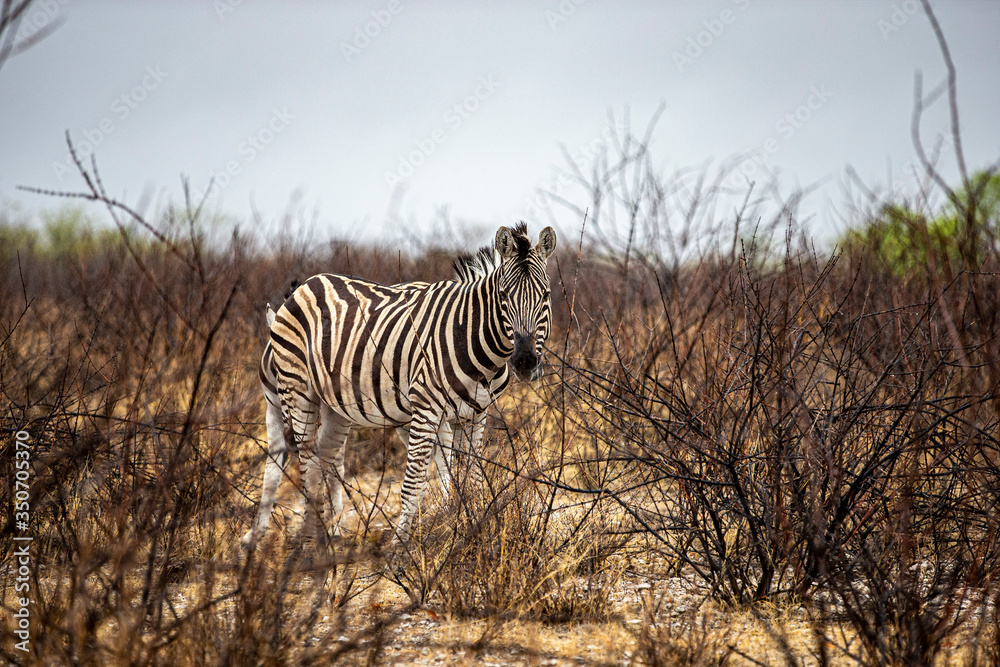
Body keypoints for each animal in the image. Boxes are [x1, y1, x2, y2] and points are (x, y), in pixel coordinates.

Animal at [241, 223, 557, 549]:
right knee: (302, 463)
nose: (525, 361)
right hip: (296, 391)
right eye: (504, 296)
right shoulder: (427, 408)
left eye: (546, 295)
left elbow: (471, 477)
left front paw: (470, 532)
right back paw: (304, 541)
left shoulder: (476, 414)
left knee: (324, 458)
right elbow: (415, 481)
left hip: (336, 405)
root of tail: (308, 283)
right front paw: (400, 546)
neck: (472, 340)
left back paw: (324, 534)